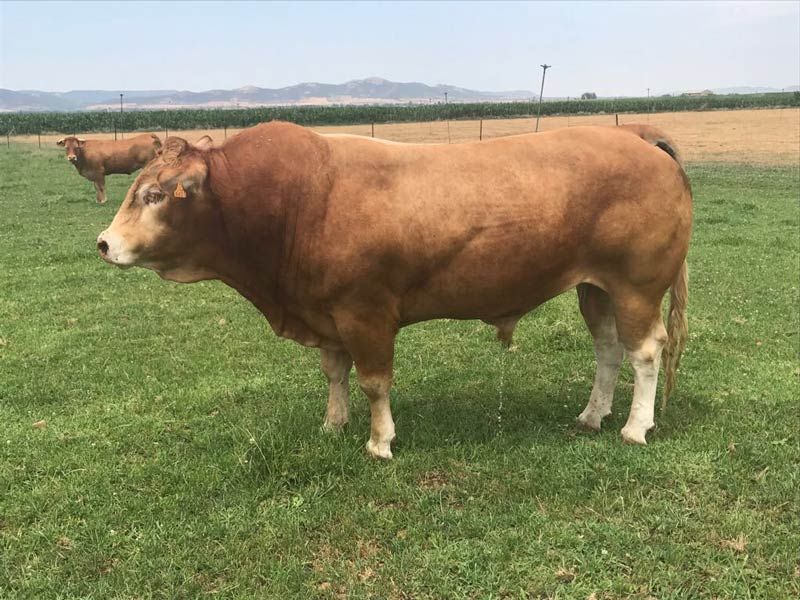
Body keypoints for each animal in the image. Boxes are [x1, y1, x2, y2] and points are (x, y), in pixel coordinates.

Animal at [97, 122, 692, 460]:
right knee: (608, 350)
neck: (294, 201)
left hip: (636, 286)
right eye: (137, 188)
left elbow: (373, 383)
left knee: (644, 353)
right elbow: (334, 374)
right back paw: (592, 415)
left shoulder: (365, 314)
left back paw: (635, 426)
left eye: (153, 195)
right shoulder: (326, 314)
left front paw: (380, 441)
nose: (104, 243)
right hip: (596, 288)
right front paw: (333, 424)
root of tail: (639, 138)